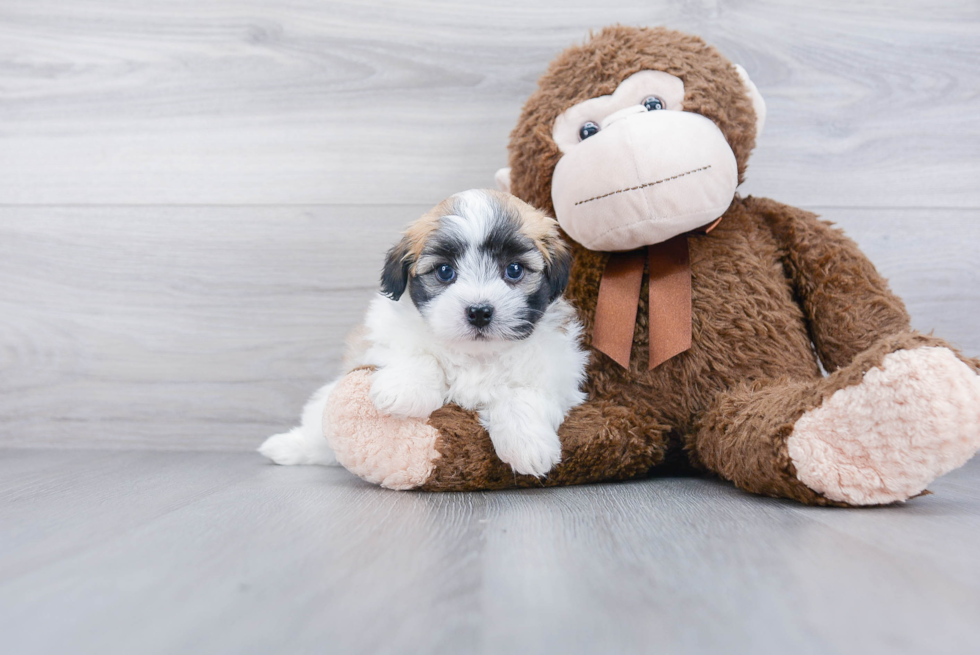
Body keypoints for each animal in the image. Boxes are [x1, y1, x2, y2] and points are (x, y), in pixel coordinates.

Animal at [256, 190, 584, 476]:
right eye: (445, 272)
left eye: (514, 270)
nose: (479, 311)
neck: (476, 355)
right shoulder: (381, 338)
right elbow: (416, 353)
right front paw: (404, 389)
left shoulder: (558, 374)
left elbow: (522, 395)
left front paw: (529, 445)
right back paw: (287, 447)